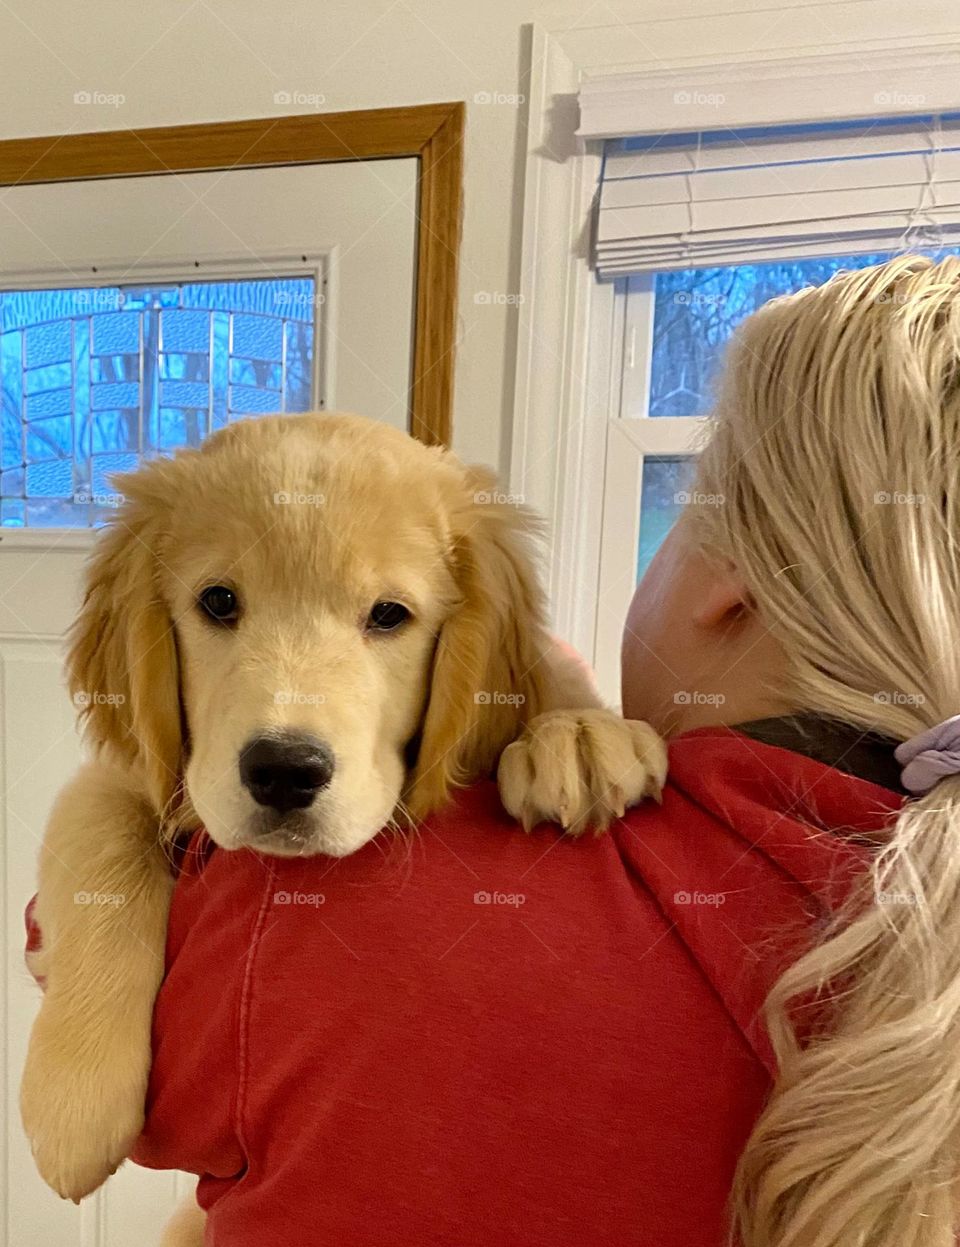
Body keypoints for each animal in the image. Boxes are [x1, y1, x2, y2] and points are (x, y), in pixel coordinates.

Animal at [22, 414, 668, 1202]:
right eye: (218, 602)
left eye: (389, 615)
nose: (284, 771)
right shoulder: (128, 775)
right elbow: (104, 847)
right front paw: (74, 1100)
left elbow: (554, 686)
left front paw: (577, 732)